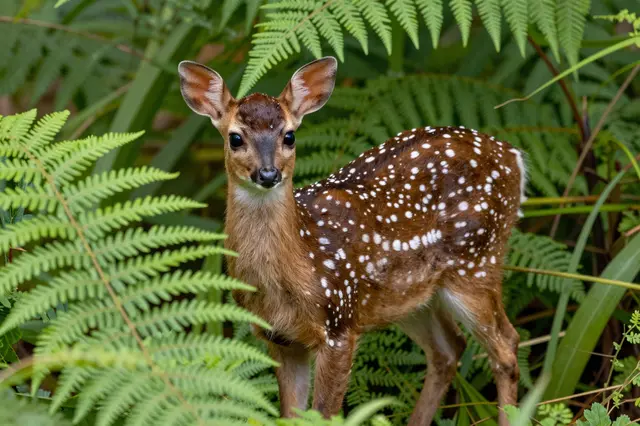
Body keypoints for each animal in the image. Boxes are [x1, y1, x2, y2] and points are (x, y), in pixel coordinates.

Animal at [178, 56, 526, 426]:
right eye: (235, 138)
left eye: (289, 135)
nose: (269, 174)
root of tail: (514, 155)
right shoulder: (282, 338)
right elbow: (291, 414)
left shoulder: (339, 325)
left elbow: (323, 414)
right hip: (407, 295)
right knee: (448, 349)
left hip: (477, 262)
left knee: (506, 345)